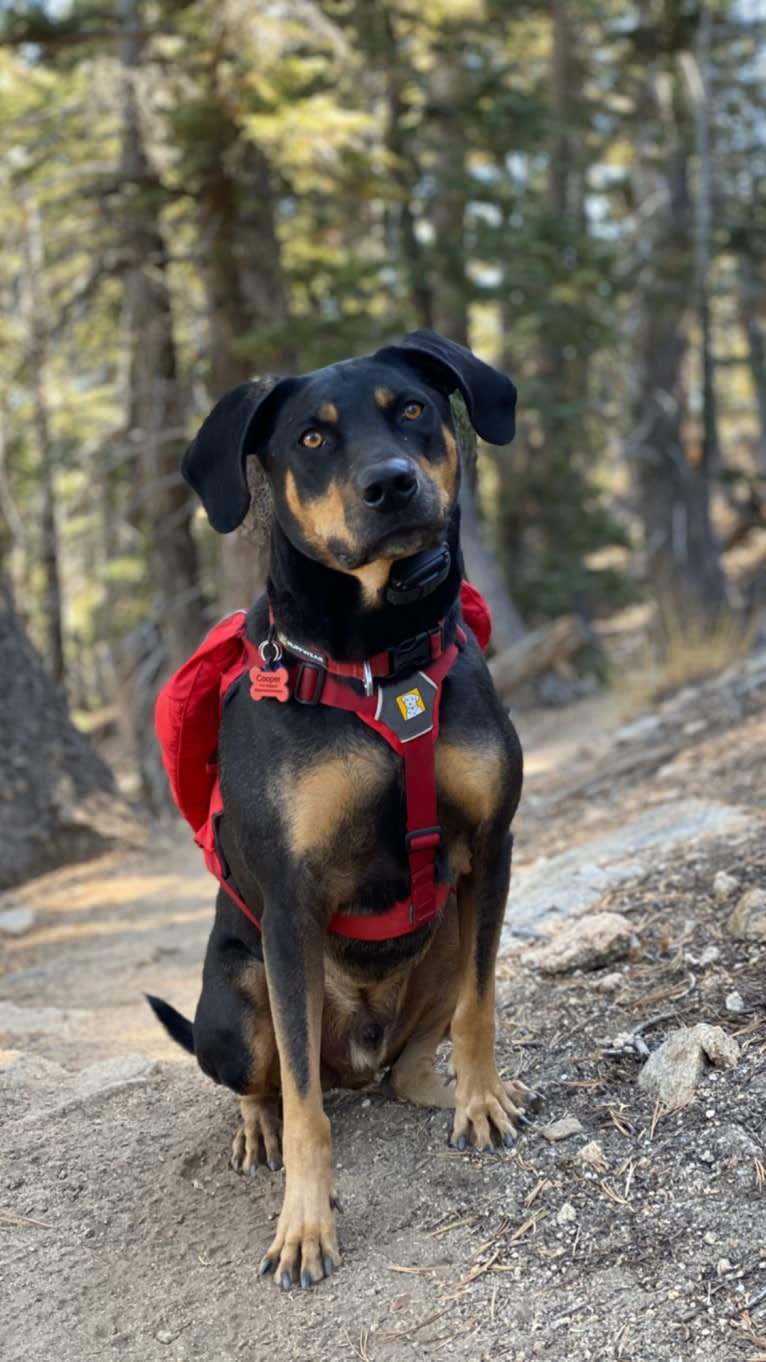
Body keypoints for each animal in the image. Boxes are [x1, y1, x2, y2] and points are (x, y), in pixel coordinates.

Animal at [149, 326, 531, 1285]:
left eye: (414, 409)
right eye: (313, 438)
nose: (390, 483)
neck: (381, 659)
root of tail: (358, 1056)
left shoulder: (493, 847)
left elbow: (481, 1007)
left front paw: (483, 1099)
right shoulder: (292, 904)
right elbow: (303, 1107)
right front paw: (305, 1224)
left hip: (441, 944)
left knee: (408, 1059)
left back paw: (438, 1089)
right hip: (236, 1002)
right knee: (271, 1082)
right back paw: (258, 1129)